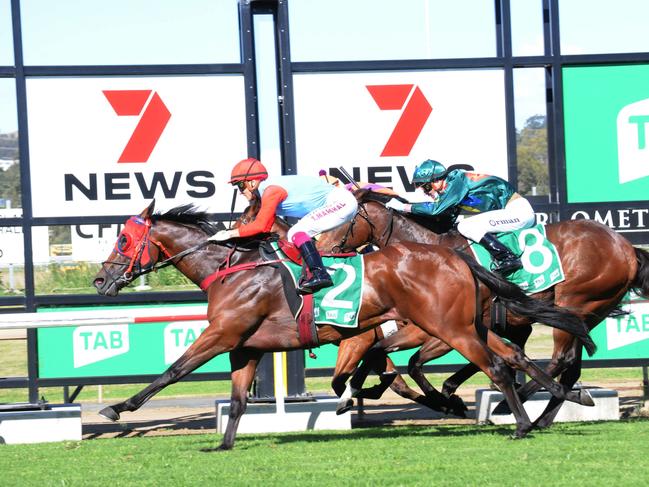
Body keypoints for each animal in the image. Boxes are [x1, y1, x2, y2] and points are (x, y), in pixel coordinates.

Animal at [93, 200, 596, 448]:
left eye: (124, 240)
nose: (100, 280)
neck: (232, 269)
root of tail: (456, 257)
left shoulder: (222, 334)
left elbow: (173, 371)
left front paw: (118, 408)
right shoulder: (245, 346)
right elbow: (236, 401)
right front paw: (224, 445)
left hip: (448, 328)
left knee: (497, 367)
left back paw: (521, 425)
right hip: (465, 324)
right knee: (514, 357)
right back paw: (559, 398)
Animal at [316, 191, 648, 428]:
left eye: (341, 221)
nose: (321, 251)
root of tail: (626, 247)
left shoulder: (440, 329)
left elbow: (416, 364)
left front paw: (451, 399)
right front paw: (450, 396)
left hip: (576, 300)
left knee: (561, 359)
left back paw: (513, 406)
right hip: (588, 313)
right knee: (570, 367)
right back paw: (543, 415)